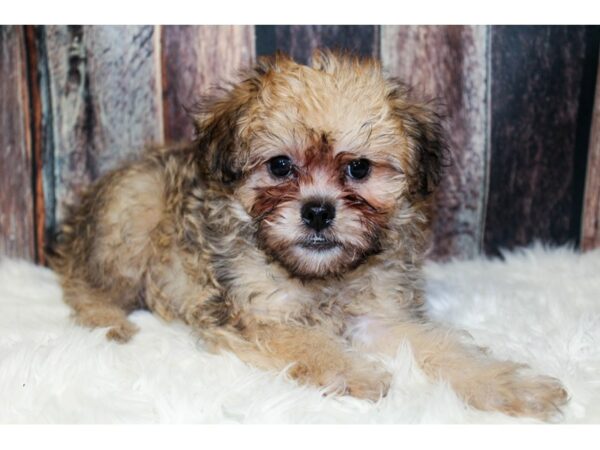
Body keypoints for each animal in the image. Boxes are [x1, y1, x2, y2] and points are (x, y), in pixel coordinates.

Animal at [50, 51, 568, 420]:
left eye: (359, 169)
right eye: (281, 165)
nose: (318, 211)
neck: (322, 277)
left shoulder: (381, 317)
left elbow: (442, 349)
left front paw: (512, 386)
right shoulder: (257, 317)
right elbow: (308, 343)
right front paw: (355, 371)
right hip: (133, 211)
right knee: (82, 282)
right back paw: (109, 319)